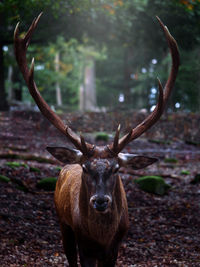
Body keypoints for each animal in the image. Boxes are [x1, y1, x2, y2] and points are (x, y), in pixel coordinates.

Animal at [14, 14, 180, 267]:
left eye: (116, 169)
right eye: (85, 167)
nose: (100, 200)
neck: (102, 239)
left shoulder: (116, 247)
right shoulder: (84, 246)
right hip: (63, 224)